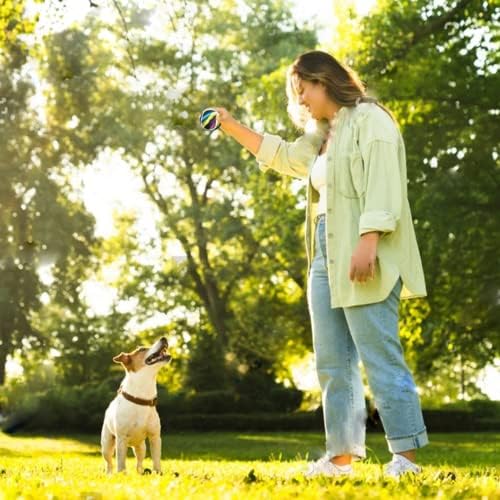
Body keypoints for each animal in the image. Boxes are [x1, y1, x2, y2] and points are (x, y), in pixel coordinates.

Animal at [101, 336, 172, 472]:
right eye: (142, 349)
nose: (164, 338)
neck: (141, 399)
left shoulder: (155, 437)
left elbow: (156, 460)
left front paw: (158, 473)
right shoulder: (121, 439)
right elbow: (120, 463)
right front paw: (121, 474)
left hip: (141, 447)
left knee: (139, 462)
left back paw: (141, 472)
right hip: (107, 444)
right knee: (109, 463)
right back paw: (109, 473)